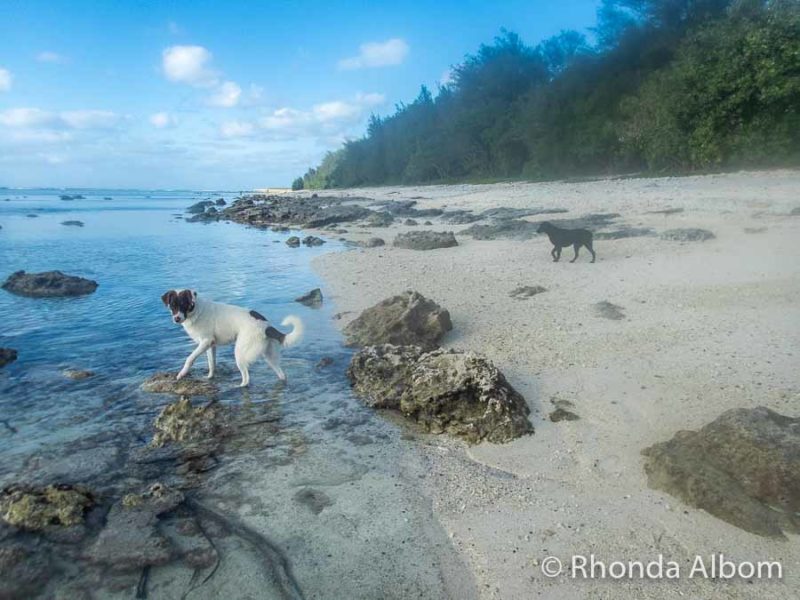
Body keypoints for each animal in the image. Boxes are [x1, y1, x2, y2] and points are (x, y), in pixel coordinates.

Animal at [160, 288, 304, 386]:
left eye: (183, 304)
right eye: (172, 306)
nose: (177, 319)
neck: (196, 310)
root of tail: (266, 326)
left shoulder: (205, 341)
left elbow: (189, 359)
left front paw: (181, 373)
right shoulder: (210, 345)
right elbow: (212, 364)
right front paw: (210, 377)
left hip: (240, 353)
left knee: (246, 378)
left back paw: (239, 387)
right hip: (269, 356)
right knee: (282, 375)